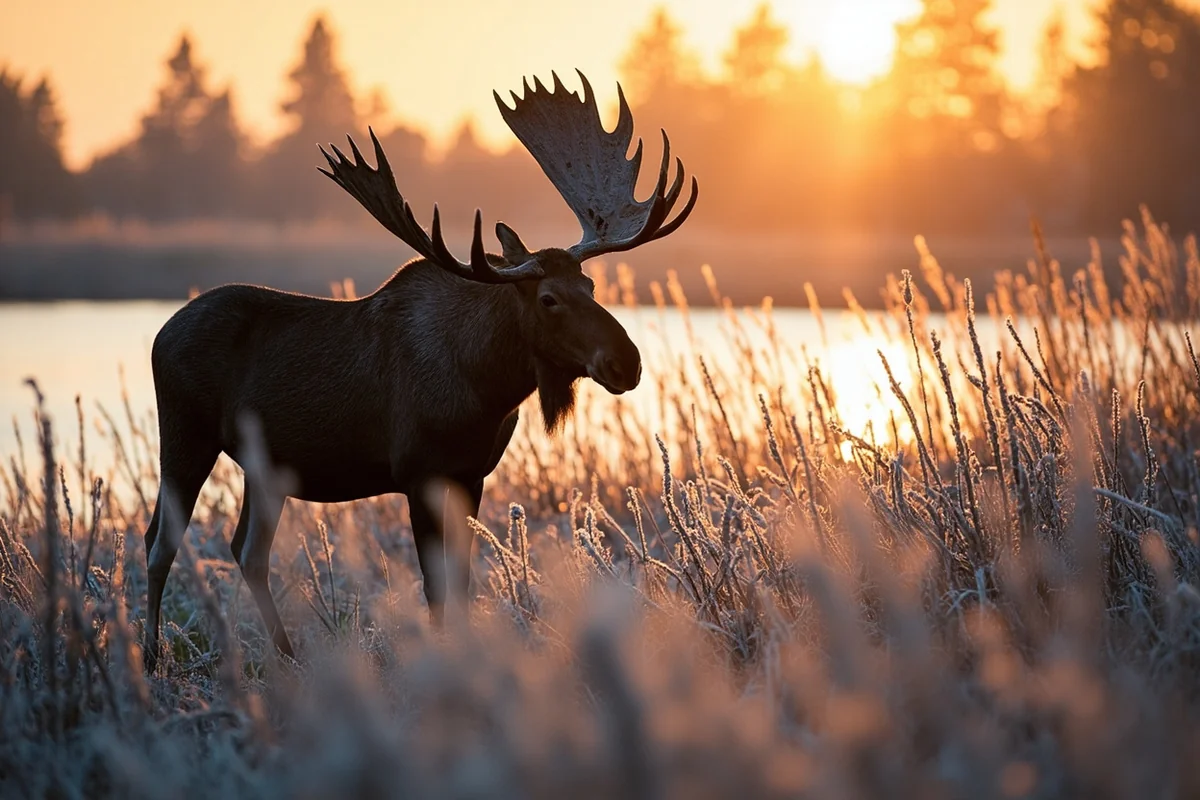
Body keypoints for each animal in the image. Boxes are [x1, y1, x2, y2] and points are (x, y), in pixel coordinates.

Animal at [141, 71, 698, 672]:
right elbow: (433, 586)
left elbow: (462, 580)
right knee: (159, 542)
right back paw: (149, 658)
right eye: (549, 298)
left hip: (265, 466)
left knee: (247, 549)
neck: (487, 390)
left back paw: (288, 659)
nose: (627, 361)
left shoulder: (471, 474)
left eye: (591, 285)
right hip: (184, 435)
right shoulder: (418, 472)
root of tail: (160, 334)